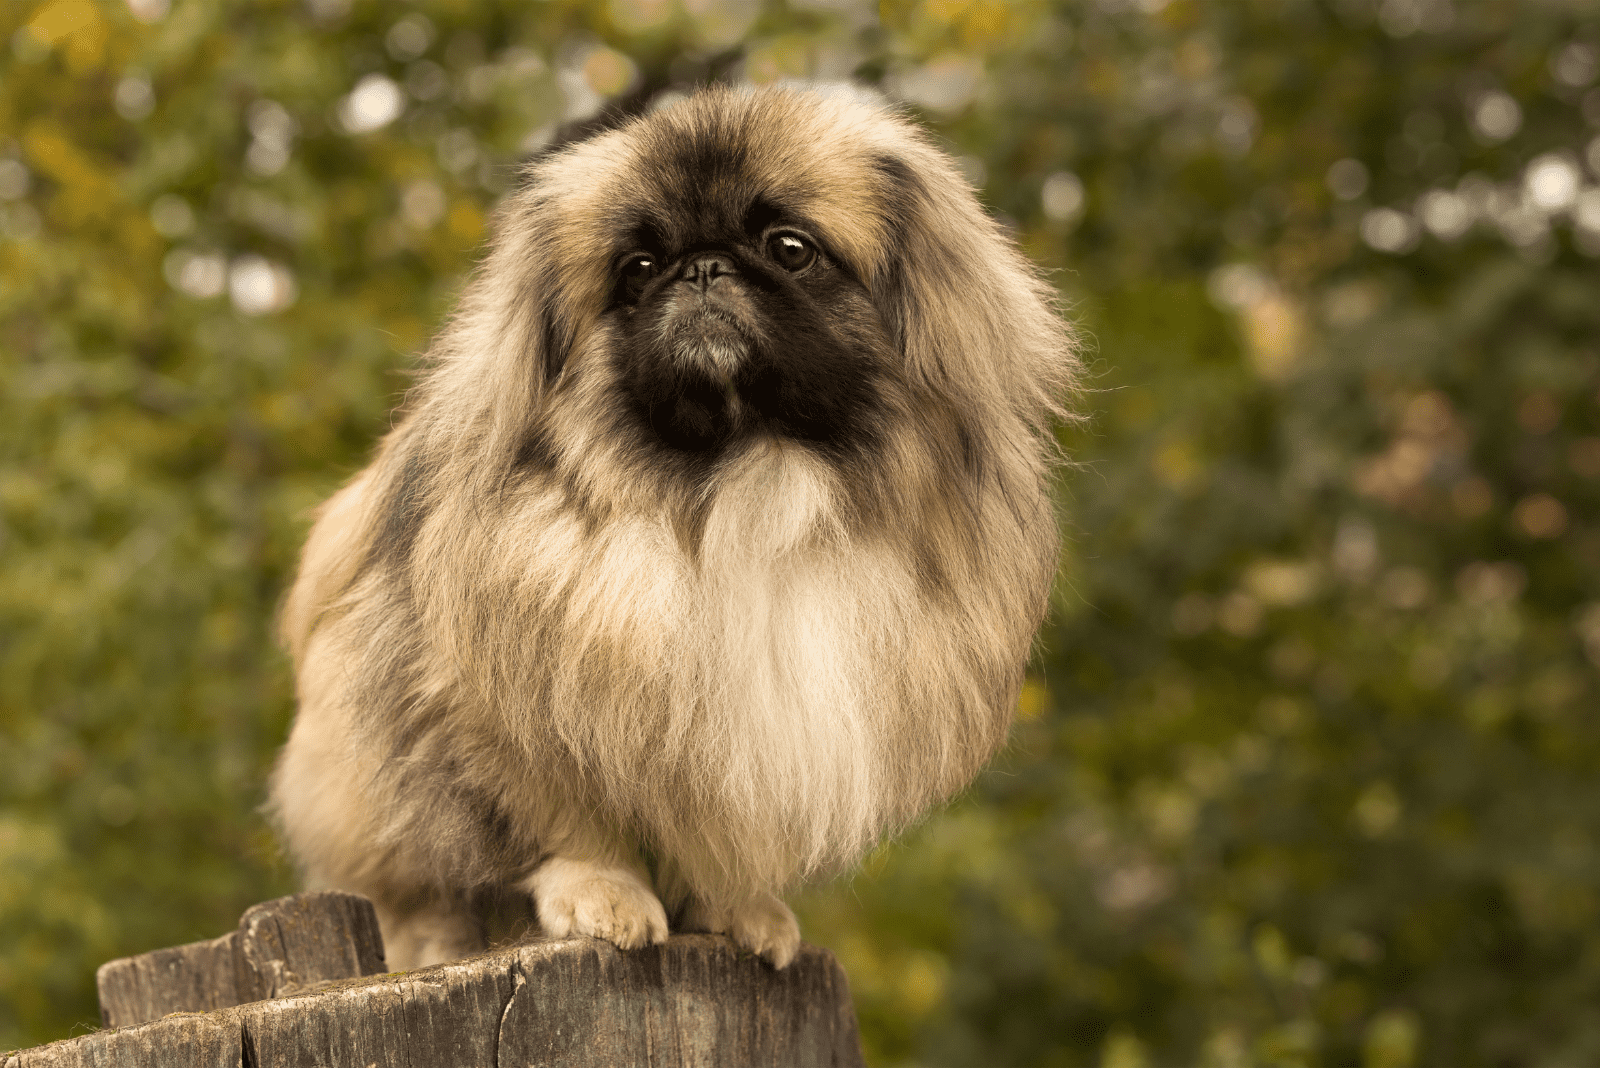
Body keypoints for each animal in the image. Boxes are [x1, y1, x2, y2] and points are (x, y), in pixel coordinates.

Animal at [268, 83, 1081, 965]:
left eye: (789, 247)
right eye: (639, 268)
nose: (702, 266)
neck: (743, 482)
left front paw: (737, 909)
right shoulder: (497, 700)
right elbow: (561, 817)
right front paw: (602, 891)